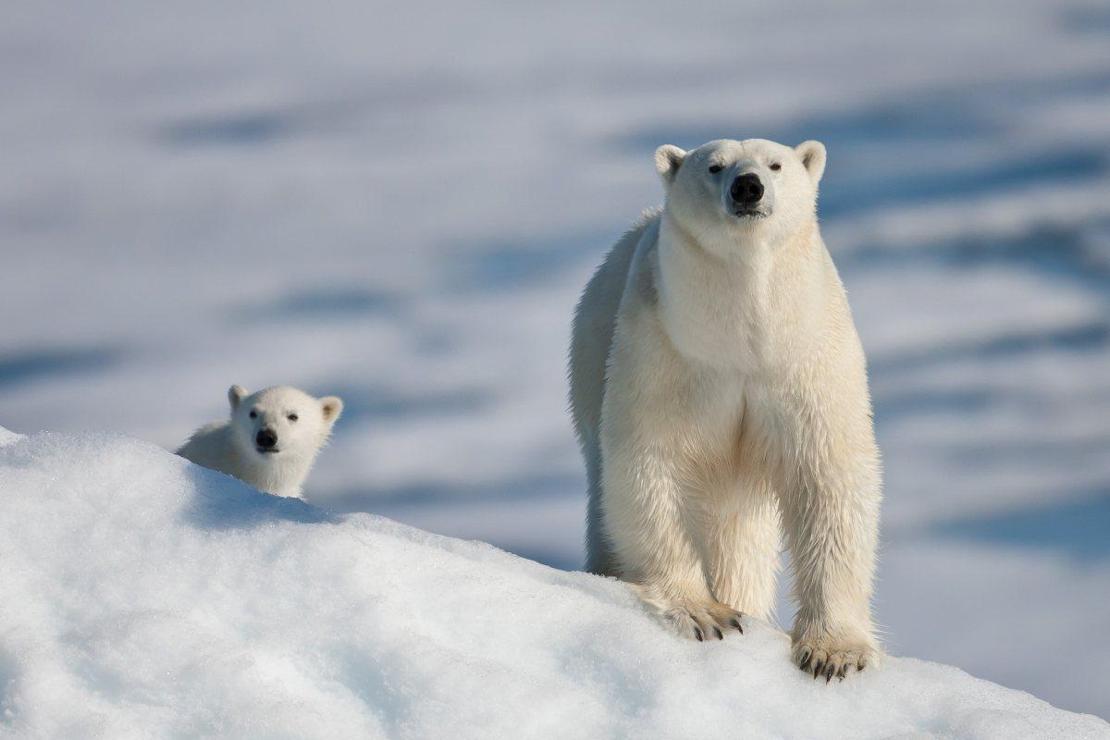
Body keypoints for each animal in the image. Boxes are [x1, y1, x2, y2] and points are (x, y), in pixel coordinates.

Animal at [568, 135, 879, 678]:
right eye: (714, 167)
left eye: (775, 164)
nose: (748, 187)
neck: (742, 337)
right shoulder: (668, 351)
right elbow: (651, 464)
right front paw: (705, 613)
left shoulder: (805, 356)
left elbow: (828, 476)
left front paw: (833, 652)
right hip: (590, 360)